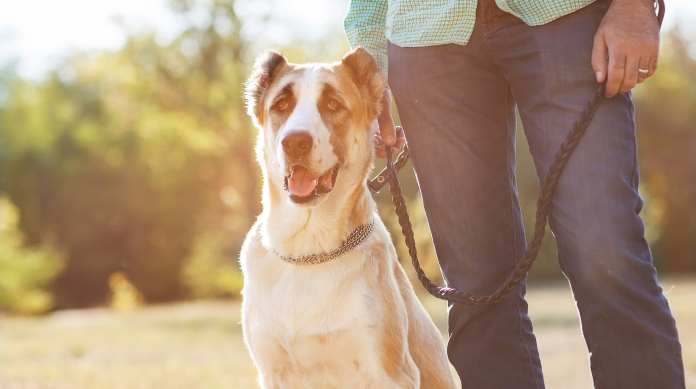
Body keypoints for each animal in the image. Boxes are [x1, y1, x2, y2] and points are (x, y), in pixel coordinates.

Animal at [239, 48, 456, 388]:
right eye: (281, 105)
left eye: (332, 104)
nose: (295, 142)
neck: (309, 249)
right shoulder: (273, 372)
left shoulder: (389, 372)